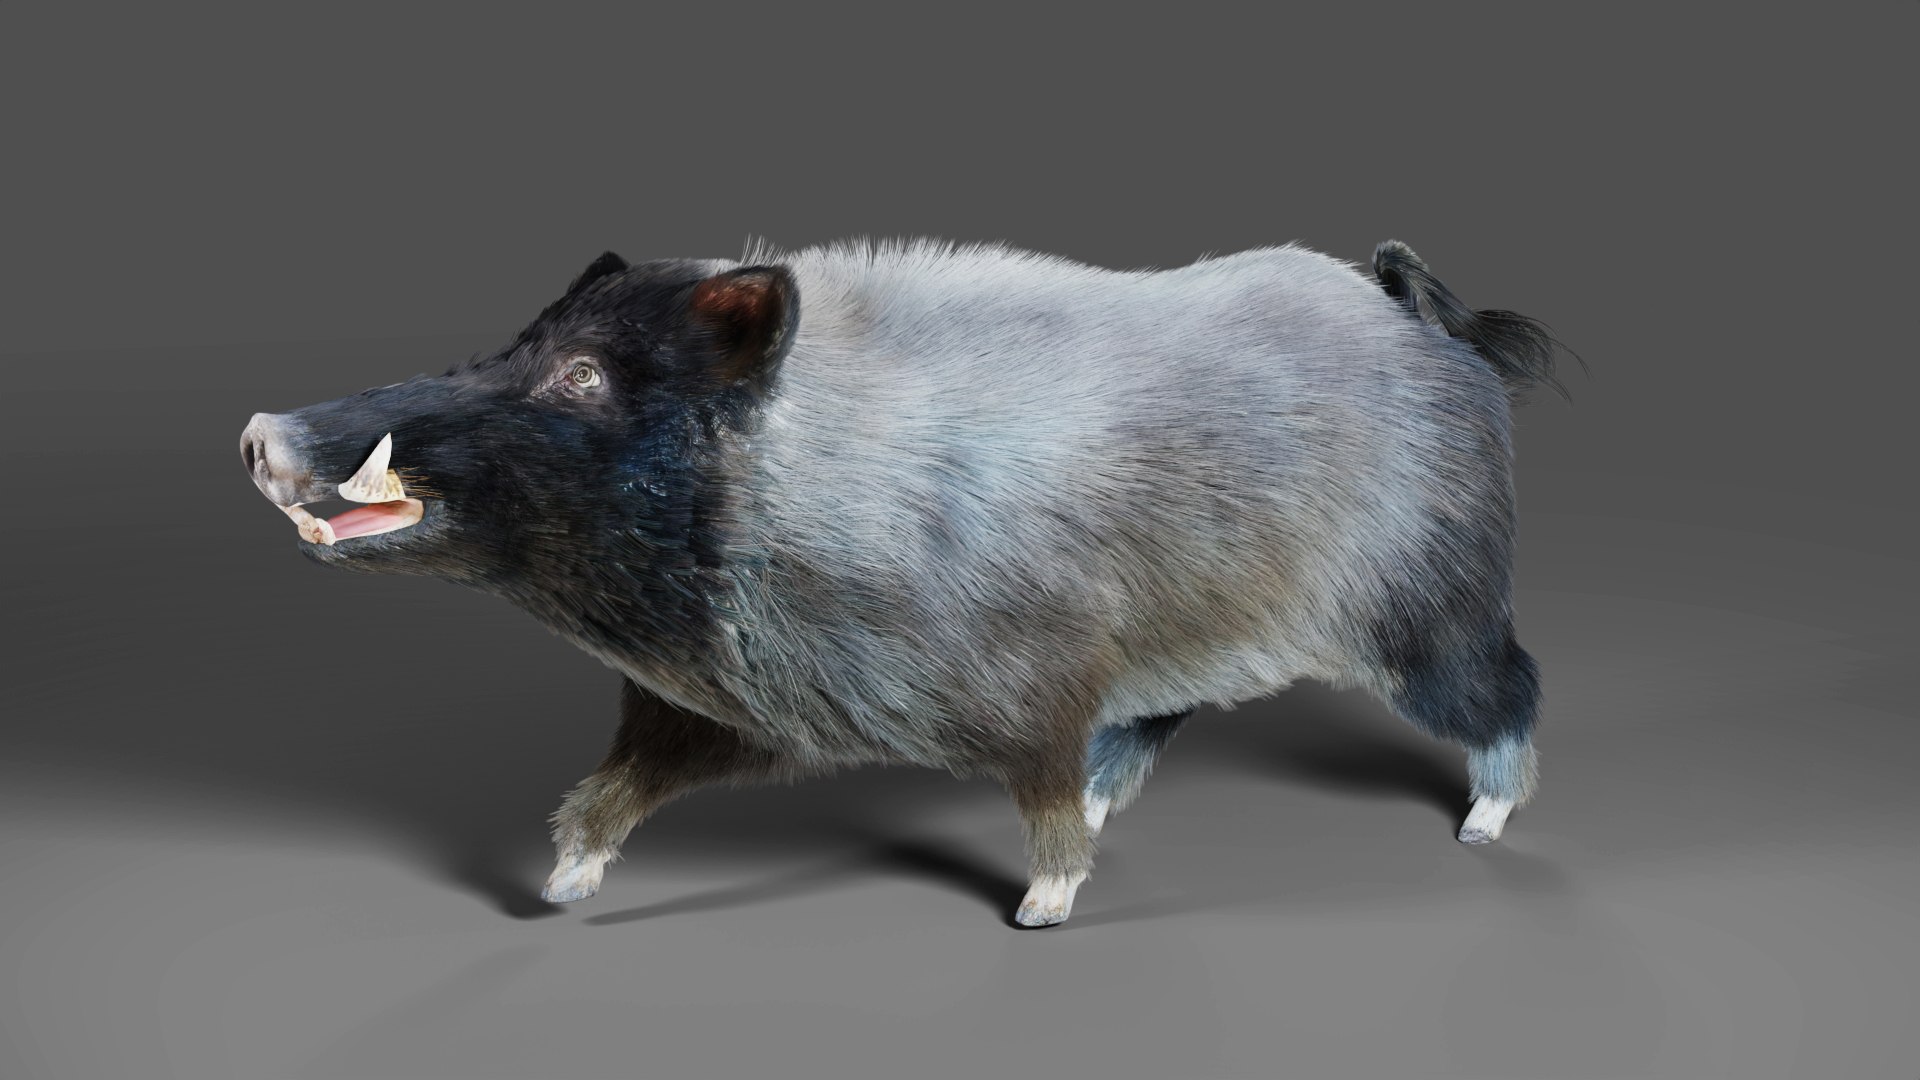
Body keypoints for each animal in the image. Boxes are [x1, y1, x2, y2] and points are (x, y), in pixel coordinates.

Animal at [239, 237, 1565, 927]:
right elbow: (612, 791)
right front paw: (560, 891)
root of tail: (1423, 320)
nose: (260, 430)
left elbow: (1041, 798)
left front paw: (1042, 911)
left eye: (581, 377)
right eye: (512, 345)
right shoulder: (700, 716)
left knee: (1514, 688)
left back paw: (1483, 826)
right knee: (1164, 715)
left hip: (1430, 608)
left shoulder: (1040, 680)